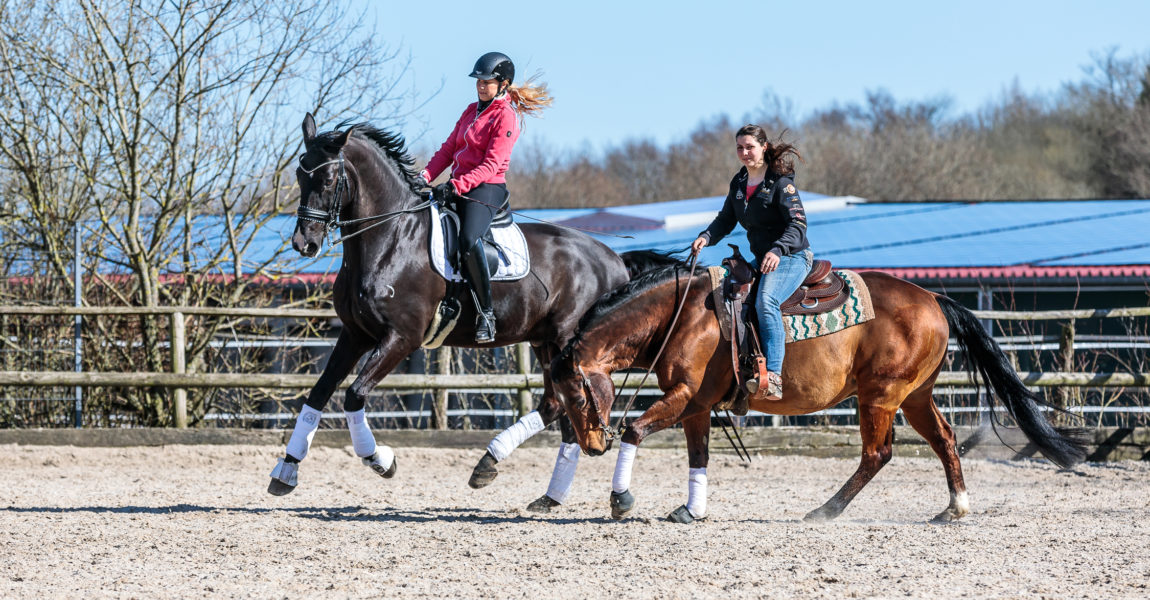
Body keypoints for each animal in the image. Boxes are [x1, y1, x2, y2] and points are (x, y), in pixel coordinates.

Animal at [269, 114, 630, 496]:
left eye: (328, 179)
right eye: (300, 175)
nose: (304, 243)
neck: (391, 239)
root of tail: (615, 260)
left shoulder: (401, 338)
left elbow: (354, 394)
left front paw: (380, 459)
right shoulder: (355, 335)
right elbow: (318, 394)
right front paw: (286, 469)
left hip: (566, 342)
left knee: (573, 406)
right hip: (545, 342)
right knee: (556, 406)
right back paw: (528, 486)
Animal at [547, 254, 1085, 519]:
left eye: (576, 394)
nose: (591, 445)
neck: (685, 315)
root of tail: (933, 297)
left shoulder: (685, 397)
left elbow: (635, 430)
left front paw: (621, 500)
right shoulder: (697, 406)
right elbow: (698, 457)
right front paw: (691, 511)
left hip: (879, 397)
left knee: (877, 454)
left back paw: (825, 510)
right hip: (915, 397)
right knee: (946, 440)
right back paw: (955, 508)